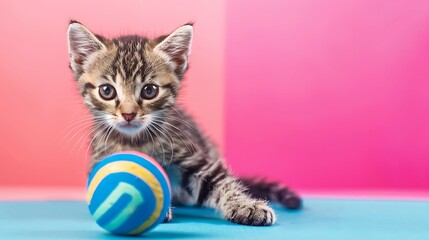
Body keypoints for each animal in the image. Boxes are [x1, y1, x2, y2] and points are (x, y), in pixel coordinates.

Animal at [67, 20, 300, 225]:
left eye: (149, 90)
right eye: (107, 91)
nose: (129, 114)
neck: (136, 140)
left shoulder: (193, 156)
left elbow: (221, 182)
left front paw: (246, 206)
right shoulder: (100, 160)